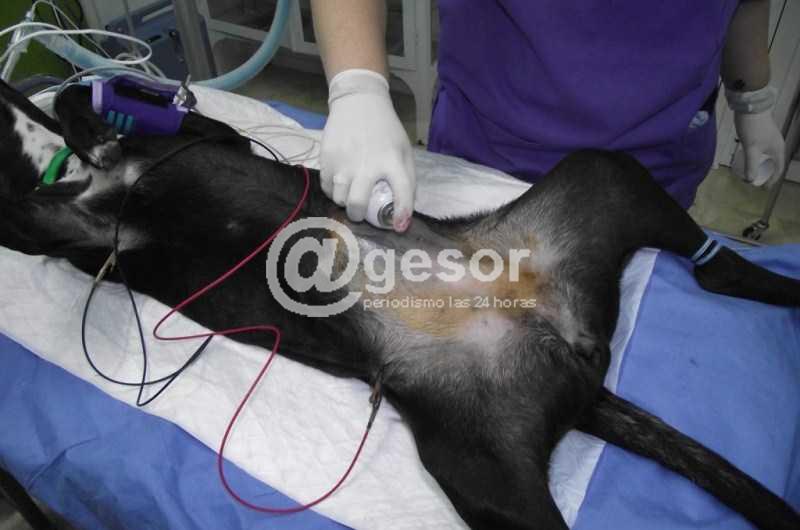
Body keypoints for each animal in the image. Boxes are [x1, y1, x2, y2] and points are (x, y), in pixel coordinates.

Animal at [1, 78, 799, 530]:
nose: (78, 96)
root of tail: (575, 354)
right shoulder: (88, 236)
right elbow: (39, 207)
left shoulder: (185, 153)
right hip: (485, 462)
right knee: (720, 274)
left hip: (600, 186)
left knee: (717, 270)